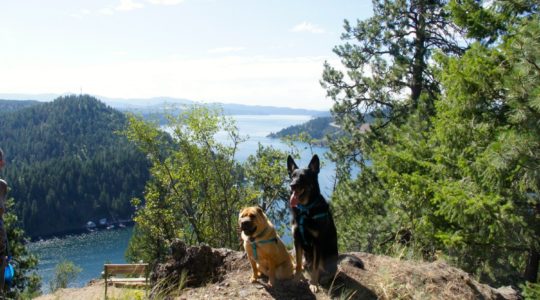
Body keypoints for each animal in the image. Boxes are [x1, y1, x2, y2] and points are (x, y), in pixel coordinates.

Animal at [286, 155, 338, 292]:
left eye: (303, 177)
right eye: (292, 176)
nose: (292, 185)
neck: (305, 209)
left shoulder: (317, 243)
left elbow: (315, 267)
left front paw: (313, 283)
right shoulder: (297, 240)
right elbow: (298, 264)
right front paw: (296, 279)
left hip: (327, 255)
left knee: (331, 271)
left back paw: (324, 278)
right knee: (301, 262)